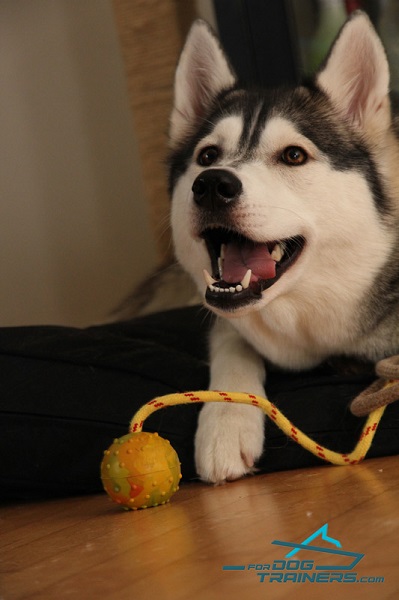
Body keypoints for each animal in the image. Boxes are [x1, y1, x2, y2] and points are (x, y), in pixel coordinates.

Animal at [168, 11, 399, 486]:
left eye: (293, 155)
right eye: (207, 156)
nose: (212, 184)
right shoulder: (230, 320)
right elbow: (231, 342)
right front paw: (225, 423)